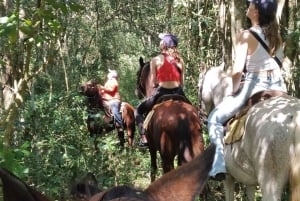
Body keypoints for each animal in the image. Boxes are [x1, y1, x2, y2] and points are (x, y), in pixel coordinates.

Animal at [198, 65, 300, 201]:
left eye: (198, 86)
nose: (201, 116)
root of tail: (294, 116)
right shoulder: (249, 182)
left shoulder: (228, 179)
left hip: (269, 183)